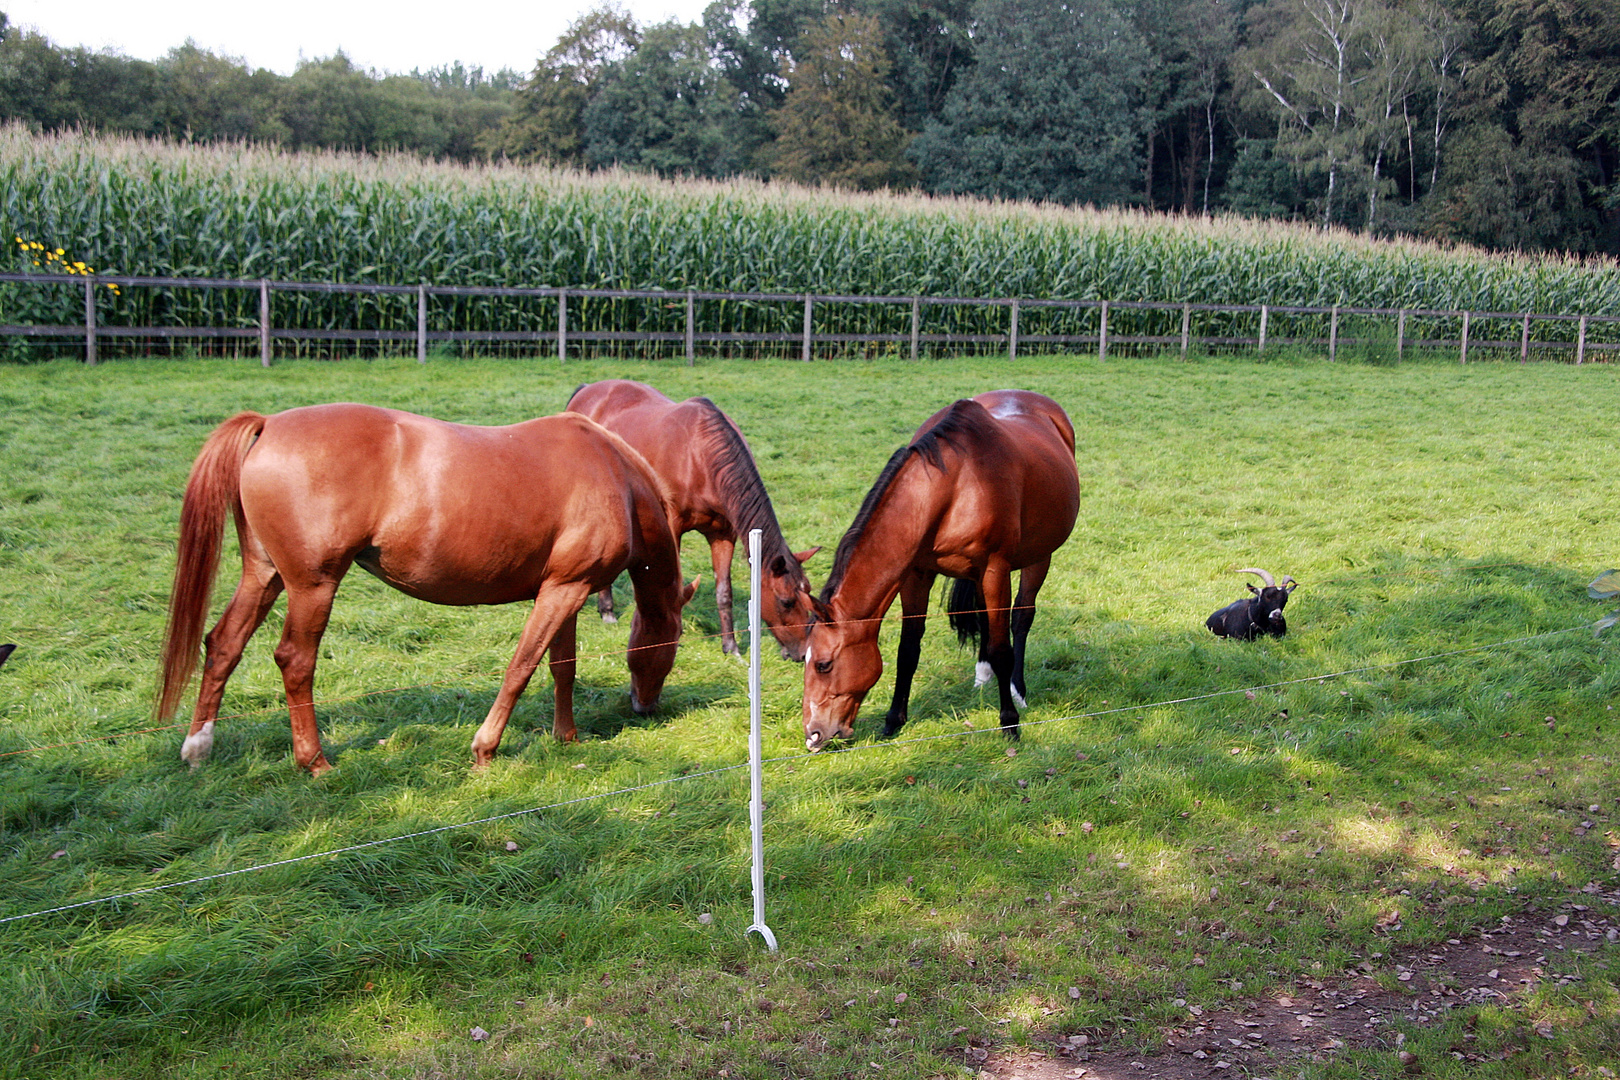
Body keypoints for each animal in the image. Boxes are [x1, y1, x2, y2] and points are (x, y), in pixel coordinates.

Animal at [154, 404, 699, 777]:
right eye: (670, 646)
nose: (645, 708)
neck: (615, 476)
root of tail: (268, 424)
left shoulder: (566, 589)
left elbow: (561, 668)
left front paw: (566, 738)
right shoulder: (564, 591)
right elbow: (521, 667)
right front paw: (485, 748)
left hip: (263, 575)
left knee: (224, 644)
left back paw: (198, 748)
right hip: (313, 585)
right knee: (295, 661)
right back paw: (314, 761)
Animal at [570, 383, 822, 663]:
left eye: (808, 591)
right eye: (786, 601)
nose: (802, 653)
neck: (699, 455)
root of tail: (587, 390)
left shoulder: (723, 534)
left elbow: (724, 592)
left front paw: (731, 647)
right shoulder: (672, 528)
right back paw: (607, 611)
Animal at [797, 388, 1075, 751]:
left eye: (823, 665)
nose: (813, 734)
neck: (956, 483)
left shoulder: (995, 570)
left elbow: (1003, 648)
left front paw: (1010, 723)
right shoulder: (916, 575)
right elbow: (907, 649)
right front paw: (893, 720)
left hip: (1038, 558)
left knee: (1021, 617)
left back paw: (1018, 690)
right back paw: (982, 674)